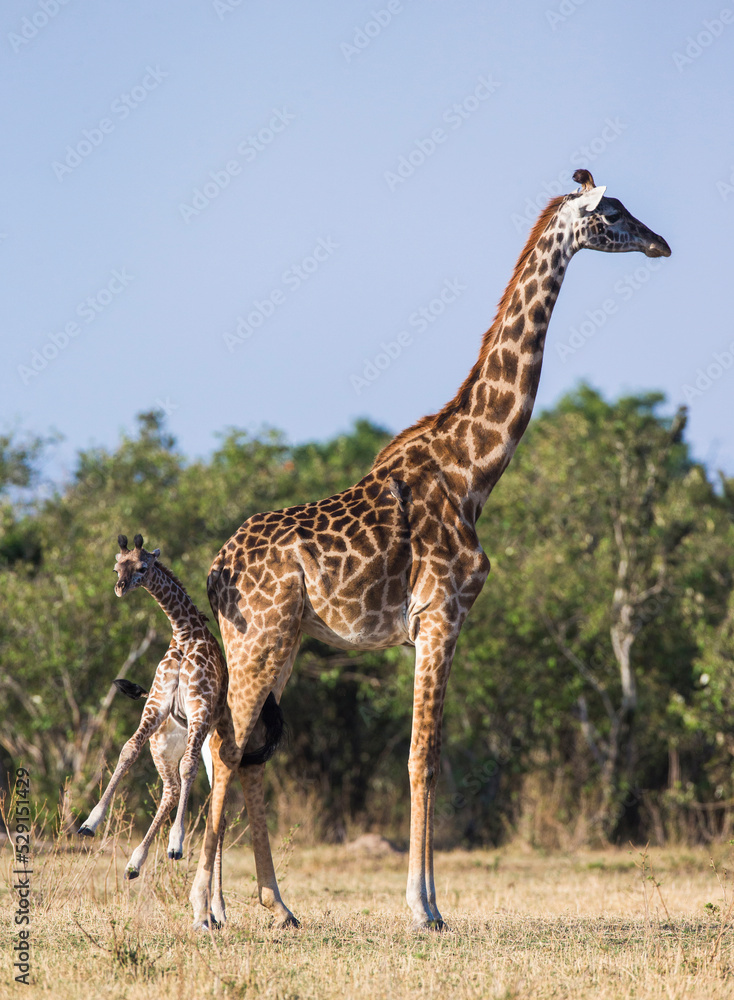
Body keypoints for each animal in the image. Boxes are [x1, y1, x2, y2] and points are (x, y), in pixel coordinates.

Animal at [78, 534, 283, 926]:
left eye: (144, 567)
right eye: (116, 567)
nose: (120, 588)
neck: (185, 633)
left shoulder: (200, 712)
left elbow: (190, 774)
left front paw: (176, 843)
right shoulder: (156, 708)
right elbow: (127, 750)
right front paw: (90, 822)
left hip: (212, 744)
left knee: (215, 804)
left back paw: (215, 909)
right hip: (166, 744)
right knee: (172, 790)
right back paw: (135, 864)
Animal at [190, 169, 671, 931]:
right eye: (616, 212)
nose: (661, 243)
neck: (474, 471)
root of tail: (215, 570)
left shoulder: (427, 628)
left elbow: (424, 757)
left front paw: (426, 900)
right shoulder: (441, 616)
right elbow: (425, 757)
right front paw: (425, 907)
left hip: (282, 641)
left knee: (241, 751)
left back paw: (277, 904)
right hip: (258, 638)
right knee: (227, 743)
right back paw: (207, 907)